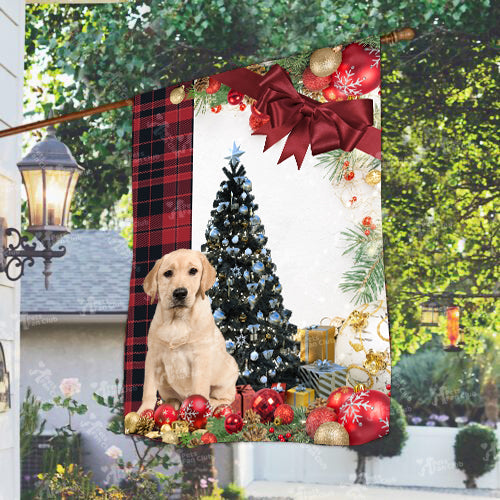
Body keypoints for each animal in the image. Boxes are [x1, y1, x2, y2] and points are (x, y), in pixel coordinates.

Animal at [137, 248, 238, 412]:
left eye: (193, 271)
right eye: (168, 273)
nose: (180, 293)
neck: (177, 319)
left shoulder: (200, 358)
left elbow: (200, 389)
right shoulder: (153, 357)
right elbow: (148, 390)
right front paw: (142, 412)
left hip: (229, 371)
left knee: (226, 397)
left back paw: (213, 403)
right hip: (165, 384)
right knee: (172, 397)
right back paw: (170, 403)